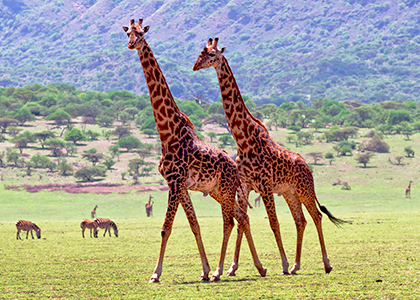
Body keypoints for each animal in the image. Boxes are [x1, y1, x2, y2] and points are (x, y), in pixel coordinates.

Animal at [122, 19, 266, 284]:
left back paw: (238, 268)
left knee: (233, 219)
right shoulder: (180, 184)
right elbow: (194, 225)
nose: (131, 44)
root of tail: (234, 166)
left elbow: (165, 228)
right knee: (241, 216)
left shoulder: (175, 181)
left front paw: (155, 274)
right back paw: (257, 268)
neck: (167, 133)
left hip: (227, 189)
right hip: (217, 190)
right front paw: (205, 270)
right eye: (128, 33)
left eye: (140, 34)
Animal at [192, 37, 346, 276]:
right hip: (290, 192)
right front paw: (232, 268)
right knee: (300, 221)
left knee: (316, 216)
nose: (195, 66)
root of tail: (307, 166)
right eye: (201, 52)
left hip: (304, 189)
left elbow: (274, 223)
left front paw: (282, 264)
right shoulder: (244, 186)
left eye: (212, 54)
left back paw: (326, 264)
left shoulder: (264, 185)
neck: (243, 139)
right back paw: (296, 265)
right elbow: (243, 222)